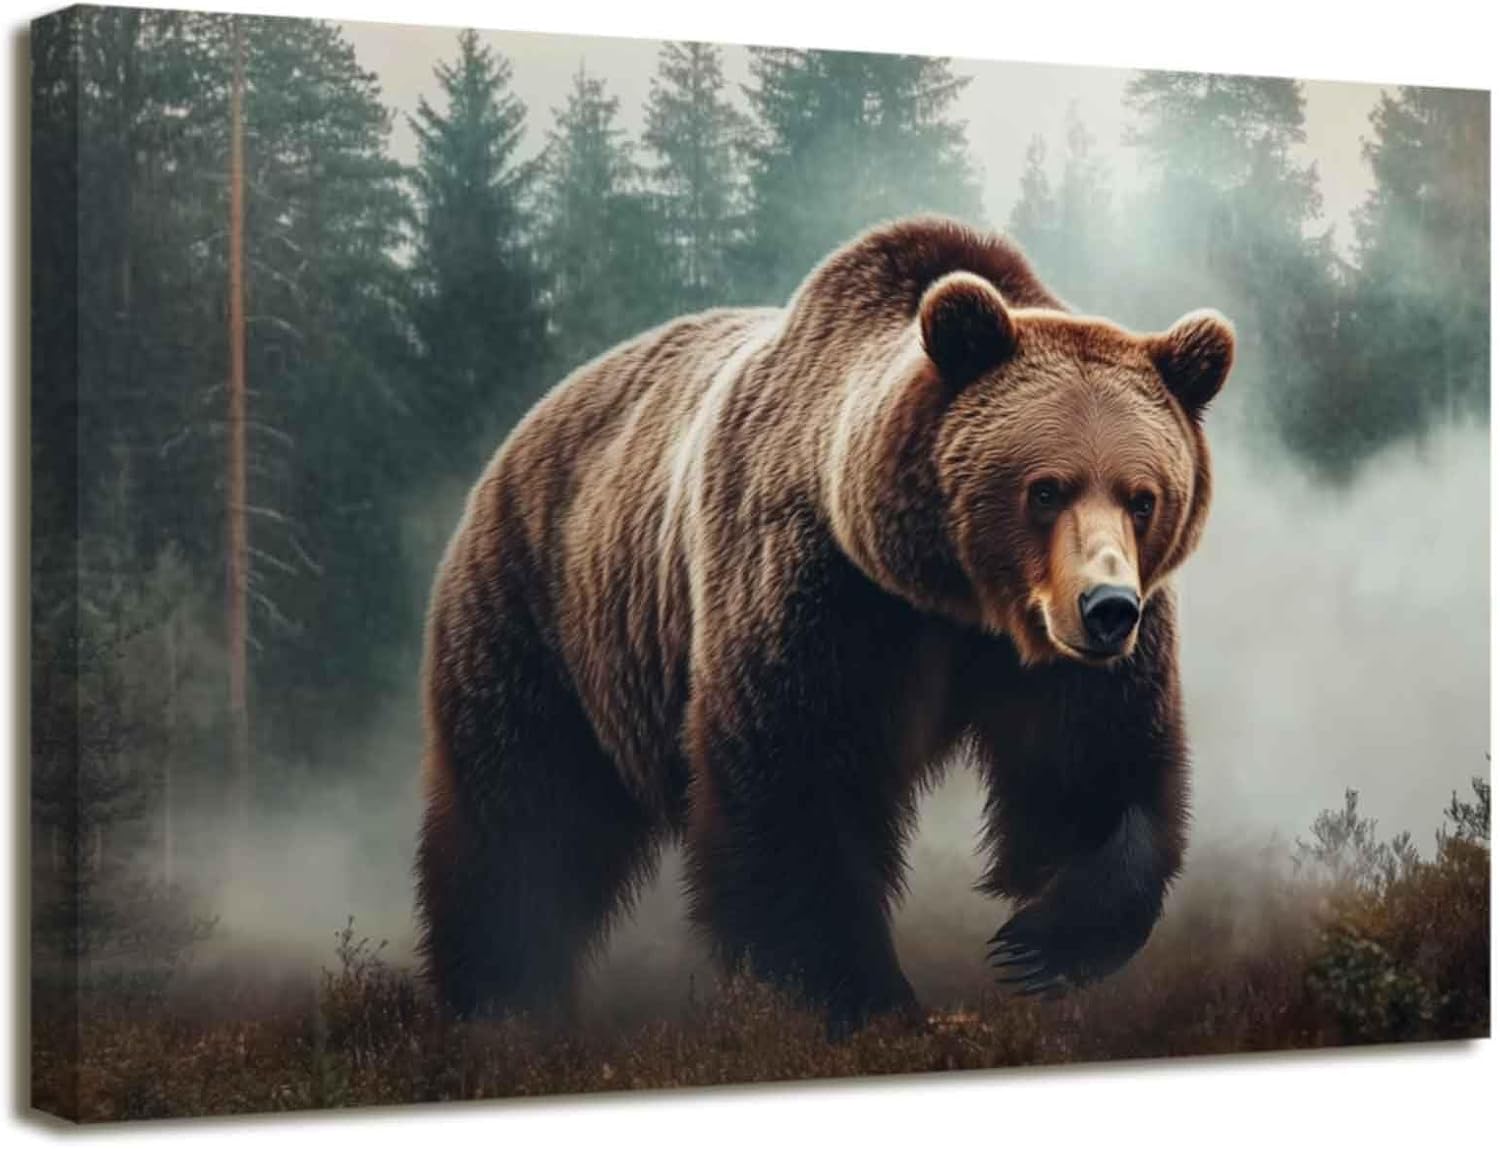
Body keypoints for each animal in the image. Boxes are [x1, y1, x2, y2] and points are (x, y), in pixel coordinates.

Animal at [415, 215, 1234, 1033]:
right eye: (1045, 489)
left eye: (1142, 497)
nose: (1106, 608)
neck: (948, 591)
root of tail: (528, 424)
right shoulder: (818, 591)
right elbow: (795, 782)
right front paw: (864, 995)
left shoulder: (1057, 656)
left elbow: (1093, 765)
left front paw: (1036, 945)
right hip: (544, 615)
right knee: (525, 812)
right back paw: (500, 996)